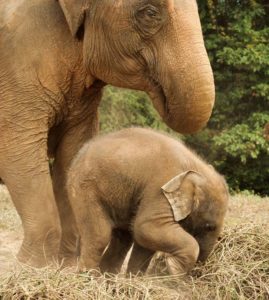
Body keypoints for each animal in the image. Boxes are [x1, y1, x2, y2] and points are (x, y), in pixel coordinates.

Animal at [0, 0, 215, 268]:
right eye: (150, 13)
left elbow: (73, 153)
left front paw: (64, 267)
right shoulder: (17, 60)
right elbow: (18, 147)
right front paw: (30, 268)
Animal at [67, 127, 228, 276]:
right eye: (209, 227)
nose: (196, 274)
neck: (194, 167)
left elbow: (144, 241)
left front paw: (135, 278)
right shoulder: (159, 187)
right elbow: (146, 226)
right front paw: (173, 269)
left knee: (123, 239)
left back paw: (108, 278)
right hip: (86, 186)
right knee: (100, 235)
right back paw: (89, 277)